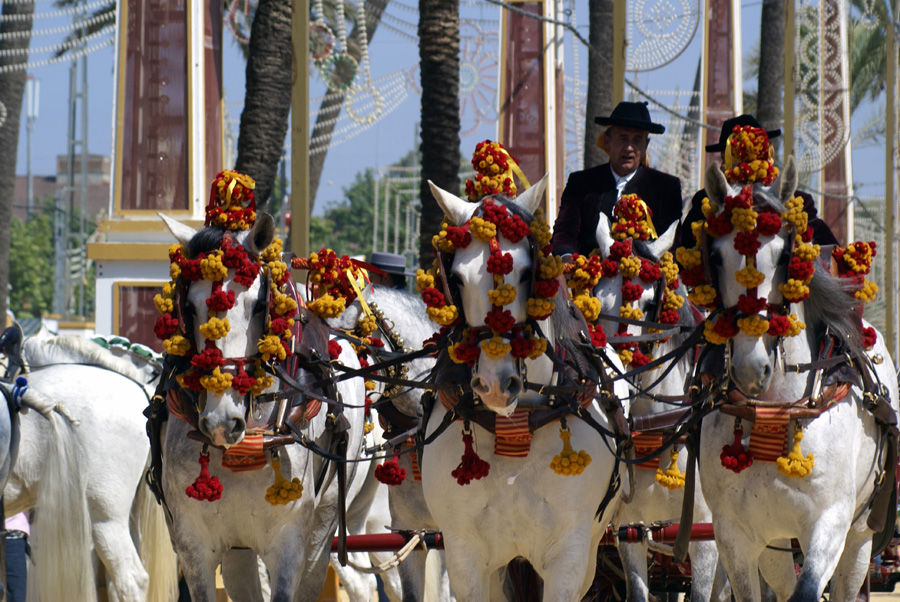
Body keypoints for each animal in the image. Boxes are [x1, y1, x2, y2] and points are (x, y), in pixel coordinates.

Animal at [162, 213, 370, 596]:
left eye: (260, 304)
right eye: (190, 306)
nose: (222, 421)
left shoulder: (289, 542)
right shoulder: (193, 544)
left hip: (323, 527)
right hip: (238, 546)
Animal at [422, 179, 632, 600]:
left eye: (524, 274)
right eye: (456, 278)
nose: (495, 384)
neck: (515, 423)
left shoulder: (569, 557)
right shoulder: (464, 556)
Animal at [692, 159, 896, 600]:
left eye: (785, 253)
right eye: (715, 255)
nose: (751, 368)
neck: (777, 408)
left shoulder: (830, 522)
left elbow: (808, 590)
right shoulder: (734, 534)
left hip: (858, 534)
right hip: (774, 542)